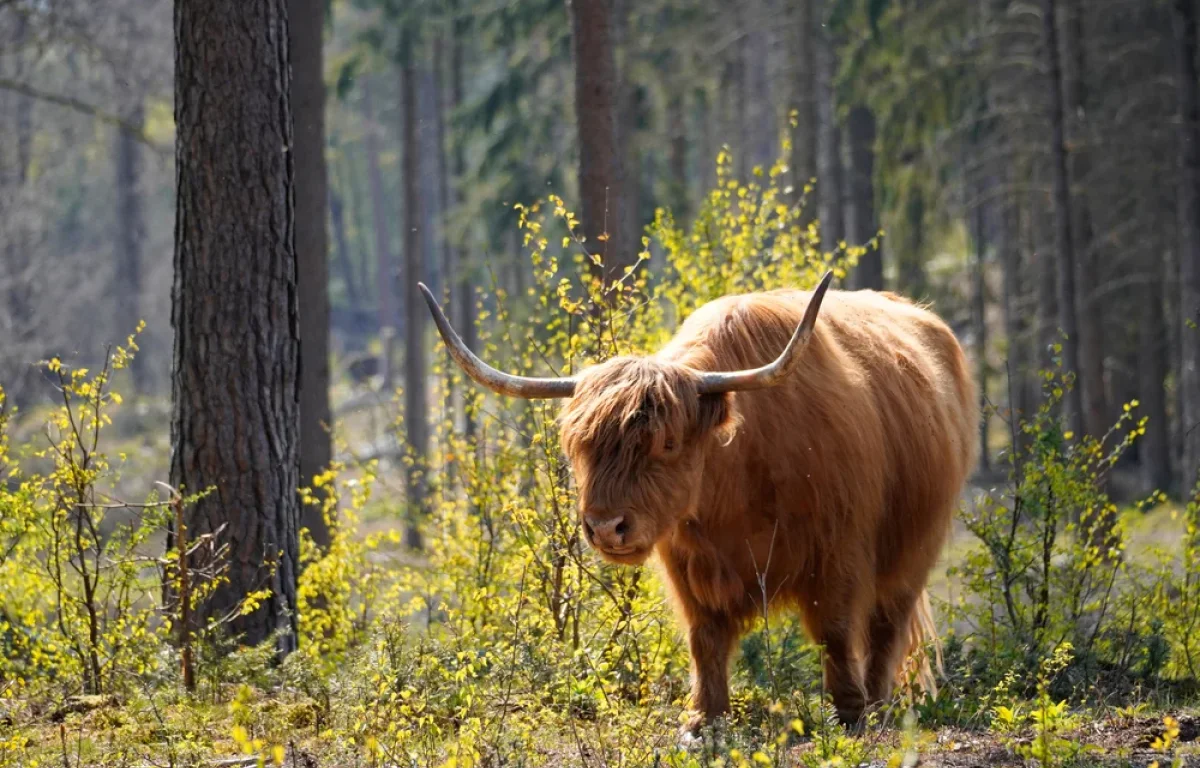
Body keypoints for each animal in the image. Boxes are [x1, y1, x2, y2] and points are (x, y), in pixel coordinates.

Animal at [417, 274, 979, 729]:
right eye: (578, 444)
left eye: (666, 443)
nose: (605, 527)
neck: (737, 486)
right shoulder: (687, 564)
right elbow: (704, 638)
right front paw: (703, 719)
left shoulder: (838, 550)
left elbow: (836, 633)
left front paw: (850, 713)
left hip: (916, 548)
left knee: (887, 624)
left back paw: (880, 706)